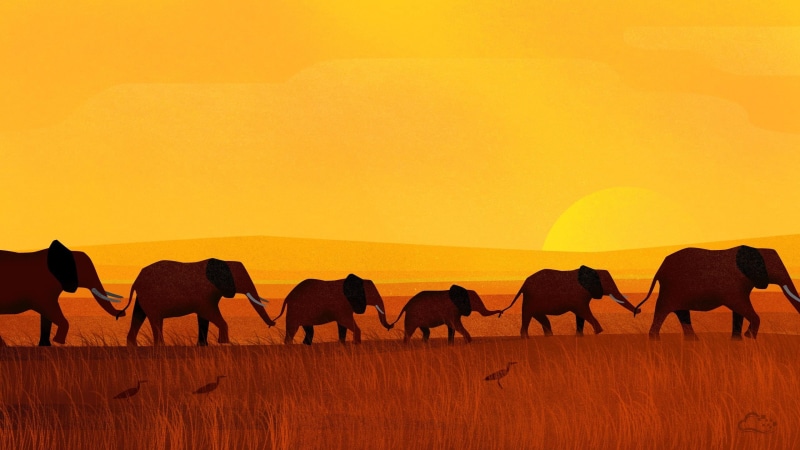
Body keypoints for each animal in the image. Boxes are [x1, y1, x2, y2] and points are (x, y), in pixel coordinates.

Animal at [119, 258, 275, 346]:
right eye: (241, 279)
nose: (272, 324)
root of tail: (136, 281)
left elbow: (204, 317)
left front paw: (203, 345)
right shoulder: (204, 294)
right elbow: (209, 313)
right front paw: (224, 343)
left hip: (143, 297)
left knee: (139, 315)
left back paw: (132, 345)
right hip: (150, 297)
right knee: (155, 319)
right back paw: (160, 346)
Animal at [500, 266, 639, 337]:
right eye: (606, 284)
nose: (638, 310)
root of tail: (523, 284)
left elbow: (581, 316)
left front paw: (580, 336)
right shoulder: (578, 297)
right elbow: (583, 311)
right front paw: (599, 332)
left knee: (542, 319)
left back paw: (549, 337)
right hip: (531, 299)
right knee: (528, 316)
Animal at [634, 245, 800, 340]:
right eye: (773, 267)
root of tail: (660, 269)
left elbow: (738, 311)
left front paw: (737, 340)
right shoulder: (732, 286)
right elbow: (740, 306)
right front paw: (749, 337)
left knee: (682, 313)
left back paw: (693, 341)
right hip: (671, 288)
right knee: (663, 310)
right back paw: (655, 339)